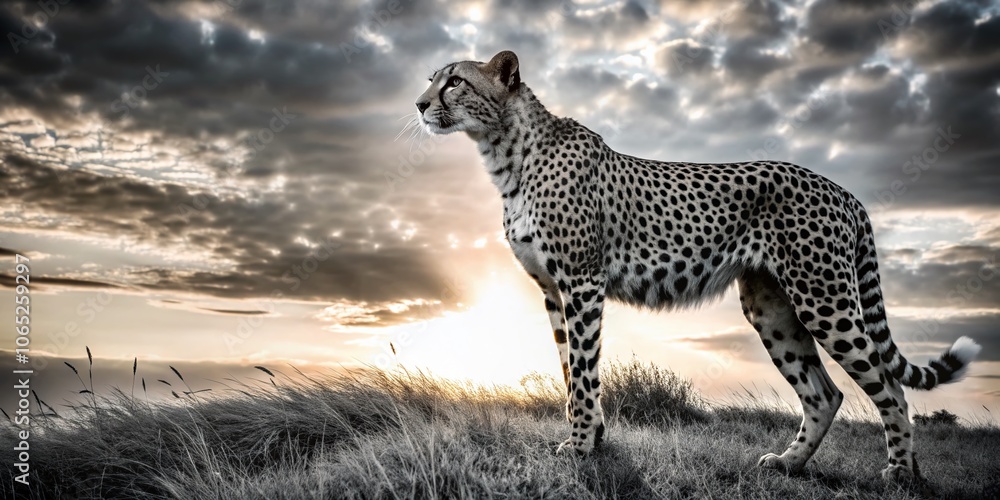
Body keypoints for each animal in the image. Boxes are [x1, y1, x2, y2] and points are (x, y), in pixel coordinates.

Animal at [414, 50, 981, 482]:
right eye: (431, 79)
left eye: (455, 82)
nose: (419, 105)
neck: (506, 152)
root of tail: (844, 192)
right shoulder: (553, 290)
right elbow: (570, 368)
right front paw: (592, 438)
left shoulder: (582, 282)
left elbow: (584, 371)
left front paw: (579, 447)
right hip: (772, 307)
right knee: (825, 393)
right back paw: (789, 463)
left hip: (825, 298)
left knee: (889, 385)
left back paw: (901, 472)